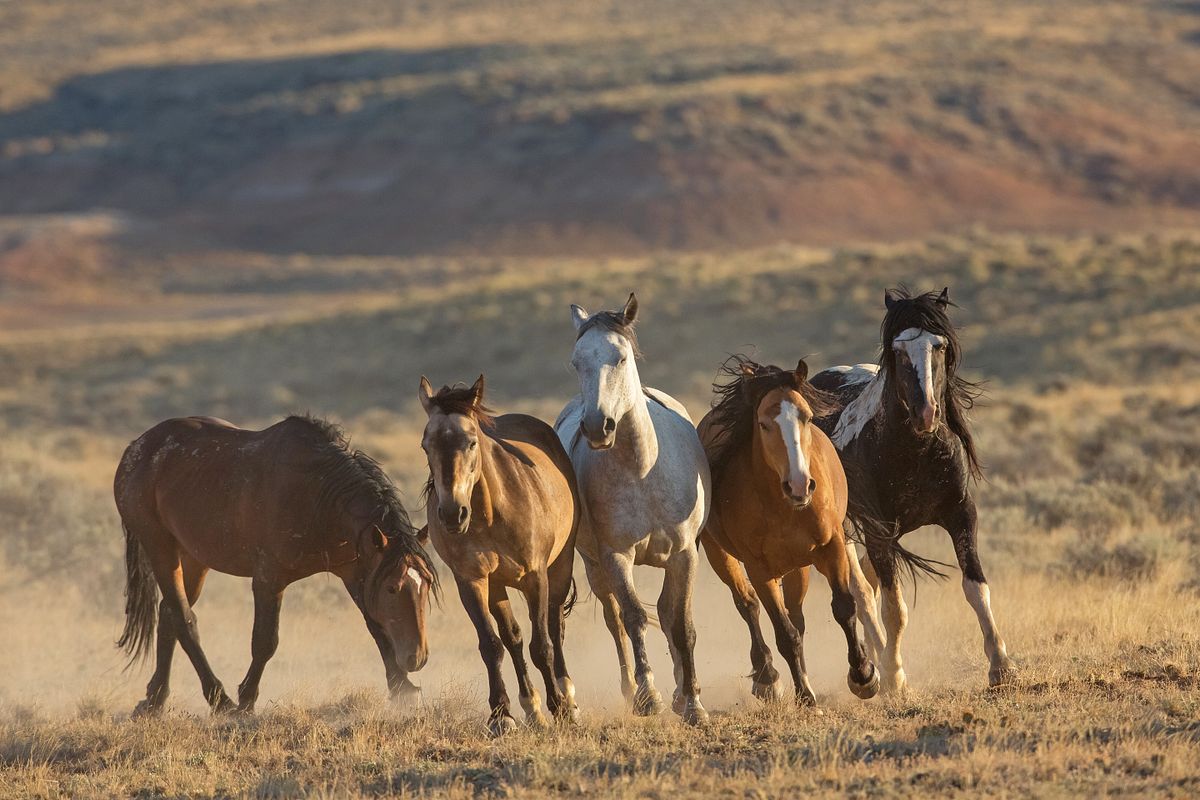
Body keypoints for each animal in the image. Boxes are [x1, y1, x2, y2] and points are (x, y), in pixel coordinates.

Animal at [113, 417, 436, 714]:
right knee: (183, 618)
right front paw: (246, 699)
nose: (417, 658)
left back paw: (155, 699)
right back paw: (220, 700)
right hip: (160, 546)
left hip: (194, 558)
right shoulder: (269, 579)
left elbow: (375, 626)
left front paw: (402, 688)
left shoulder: (355, 571)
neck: (317, 494)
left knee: (168, 614)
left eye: (427, 585)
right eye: (392, 588)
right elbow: (265, 640)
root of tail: (135, 449)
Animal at [417, 376, 580, 738]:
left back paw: (568, 698)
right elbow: (492, 645)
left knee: (556, 628)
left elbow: (542, 645)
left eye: (471, 442)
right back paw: (531, 707)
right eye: (425, 445)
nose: (452, 515)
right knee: (513, 638)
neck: (491, 515)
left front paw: (560, 709)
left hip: (560, 569)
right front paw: (502, 715)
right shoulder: (473, 582)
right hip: (499, 586)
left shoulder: (536, 578)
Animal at [554, 292, 710, 724]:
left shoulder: (685, 554)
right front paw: (647, 696)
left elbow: (682, 623)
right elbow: (634, 619)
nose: (597, 426)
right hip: (594, 567)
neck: (642, 470)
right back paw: (634, 689)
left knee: (668, 614)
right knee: (616, 621)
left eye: (620, 357)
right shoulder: (615, 557)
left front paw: (692, 702)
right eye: (576, 362)